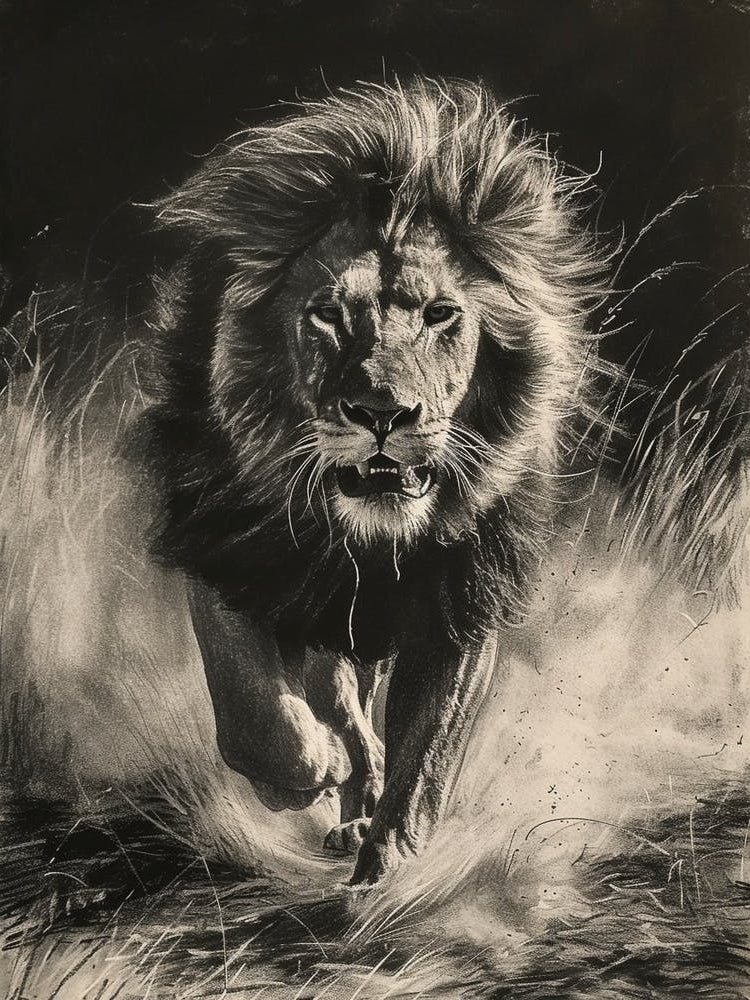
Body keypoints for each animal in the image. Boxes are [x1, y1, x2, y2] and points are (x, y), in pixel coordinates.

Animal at [141, 78, 604, 885]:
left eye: (441, 315)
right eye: (326, 314)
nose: (384, 414)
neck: (365, 539)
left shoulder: (459, 603)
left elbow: (428, 754)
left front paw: (393, 865)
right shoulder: (229, 556)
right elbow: (254, 714)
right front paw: (308, 773)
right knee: (330, 700)